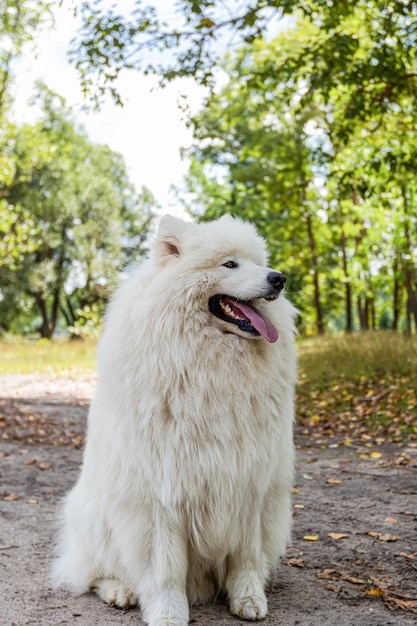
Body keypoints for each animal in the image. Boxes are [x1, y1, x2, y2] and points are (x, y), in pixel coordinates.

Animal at [52, 214, 298, 624]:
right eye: (230, 264)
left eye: (259, 262)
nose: (279, 278)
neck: (212, 368)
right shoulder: (160, 494)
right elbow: (164, 568)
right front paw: (168, 613)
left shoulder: (249, 483)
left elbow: (245, 557)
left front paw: (248, 599)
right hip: (95, 519)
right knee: (90, 573)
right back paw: (120, 591)